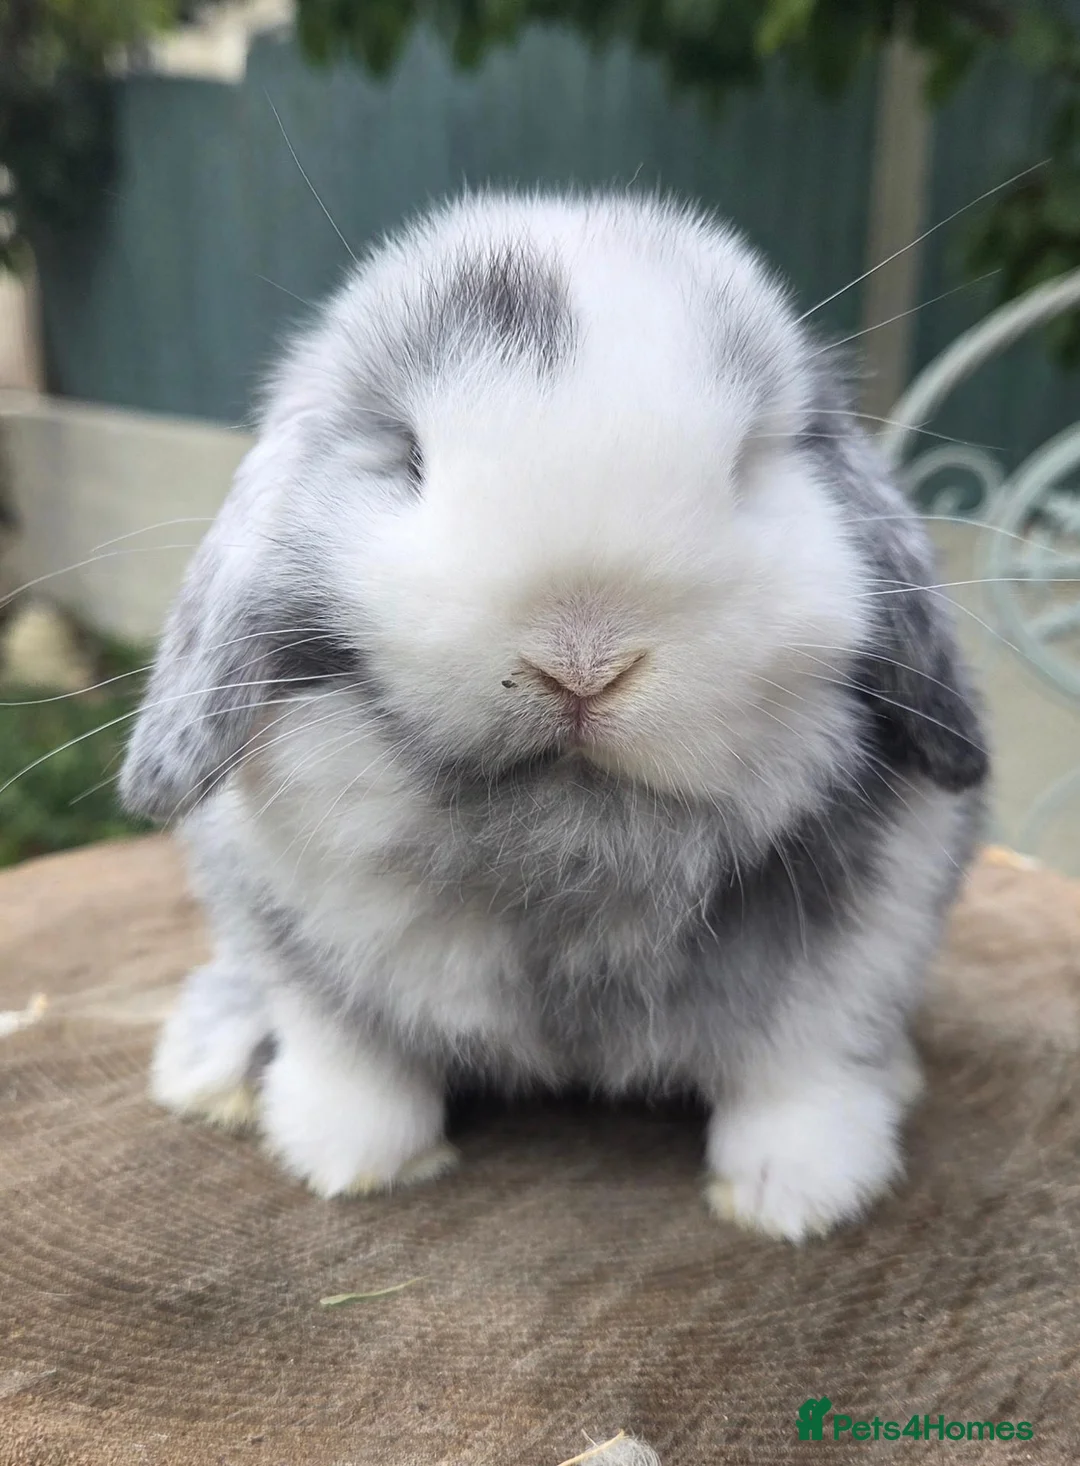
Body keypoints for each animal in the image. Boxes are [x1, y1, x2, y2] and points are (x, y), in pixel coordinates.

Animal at [119, 191, 988, 1242]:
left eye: (748, 464)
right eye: (408, 456)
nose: (583, 661)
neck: (571, 862)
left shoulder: (862, 947)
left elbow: (802, 1072)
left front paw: (796, 1201)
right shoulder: (302, 950)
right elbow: (354, 1057)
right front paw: (352, 1162)